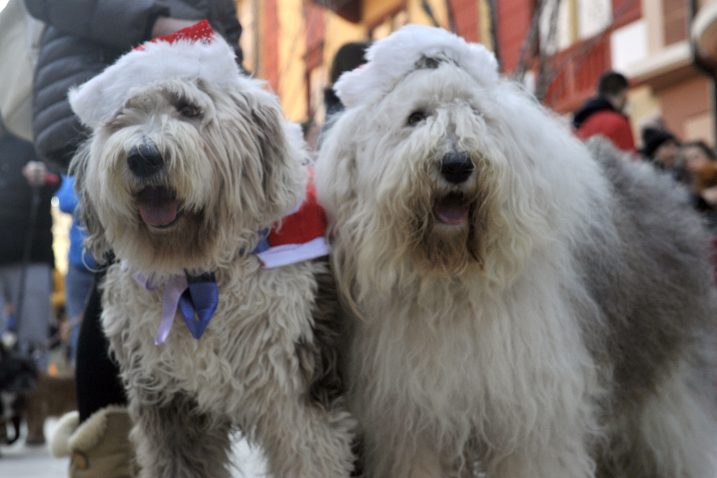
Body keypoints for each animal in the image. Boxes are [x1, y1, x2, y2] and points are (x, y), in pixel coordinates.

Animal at [68, 22, 354, 478]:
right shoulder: (170, 404)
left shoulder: (300, 397)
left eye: (188, 108)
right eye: (122, 115)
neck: (199, 274)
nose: (143, 156)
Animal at [318, 25, 716, 478]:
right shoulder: (412, 423)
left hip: (667, 385)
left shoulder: (533, 414)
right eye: (416, 116)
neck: (452, 279)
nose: (457, 164)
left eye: (477, 114)